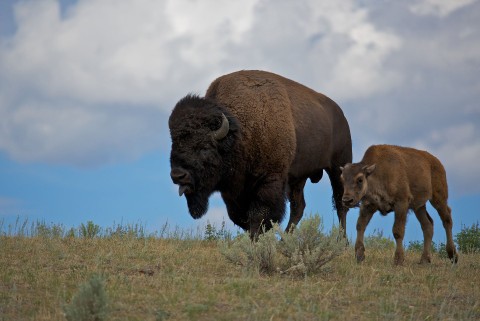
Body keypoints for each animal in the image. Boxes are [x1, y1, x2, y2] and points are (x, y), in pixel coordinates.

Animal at [169, 70, 352, 238]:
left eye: (204, 147)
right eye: (174, 144)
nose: (178, 175)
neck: (239, 133)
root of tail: (340, 114)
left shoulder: (269, 181)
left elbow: (259, 216)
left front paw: (255, 241)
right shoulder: (234, 192)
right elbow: (240, 217)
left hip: (338, 167)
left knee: (340, 202)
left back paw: (341, 241)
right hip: (298, 177)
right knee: (298, 207)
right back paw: (285, 239)